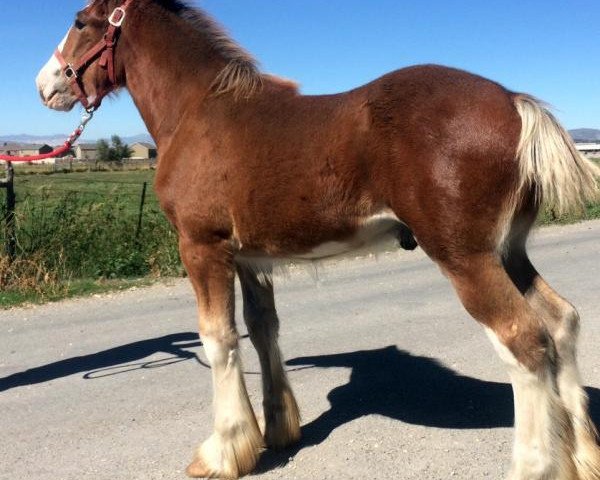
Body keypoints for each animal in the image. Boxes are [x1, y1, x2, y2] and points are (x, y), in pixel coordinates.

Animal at [36, 0, 600, 480]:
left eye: (81, 20)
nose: (45, 85)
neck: (199, 111)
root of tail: (514, 102)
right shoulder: (250, 258)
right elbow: (262, 330)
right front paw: (276, 430)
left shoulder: (201, 247)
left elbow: (219, 339)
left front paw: (222, 453)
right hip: (509, 252)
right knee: (561, 321)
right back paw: (581, 456)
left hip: (466, 257)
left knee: (524, 340)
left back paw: (535, 465)